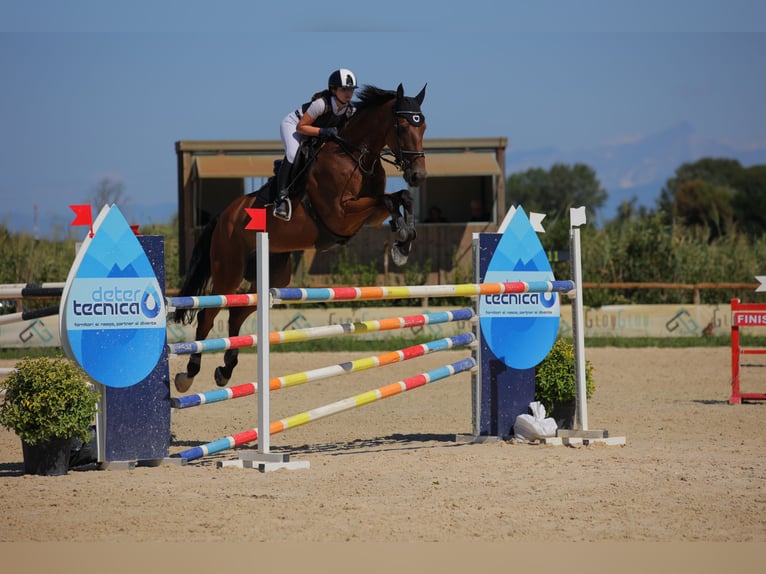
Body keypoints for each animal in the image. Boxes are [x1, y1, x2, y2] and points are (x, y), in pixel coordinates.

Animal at [170, 83, 428, 394]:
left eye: (423, 126)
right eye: (401, 126)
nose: (418, 175)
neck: (356, 156)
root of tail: (223, 217)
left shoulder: (369, 215)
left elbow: (399, 198)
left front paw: (404, 240)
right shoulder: (341, 213)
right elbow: (389, 200)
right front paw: (401, 239)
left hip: (274, 276)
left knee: (238, 313)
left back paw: (225, 370)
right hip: (228, 271)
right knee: (208, 316)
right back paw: (188, 374)